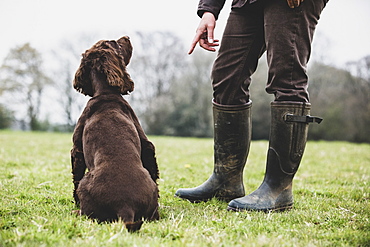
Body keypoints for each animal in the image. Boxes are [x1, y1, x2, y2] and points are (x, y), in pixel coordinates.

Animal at [71, 36, 159, 232]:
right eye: (116, 43)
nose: (127, 37)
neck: (105, 93)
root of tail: (125, 206)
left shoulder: (76, 149)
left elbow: (75, 177)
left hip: (86, 183)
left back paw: (76, 211)